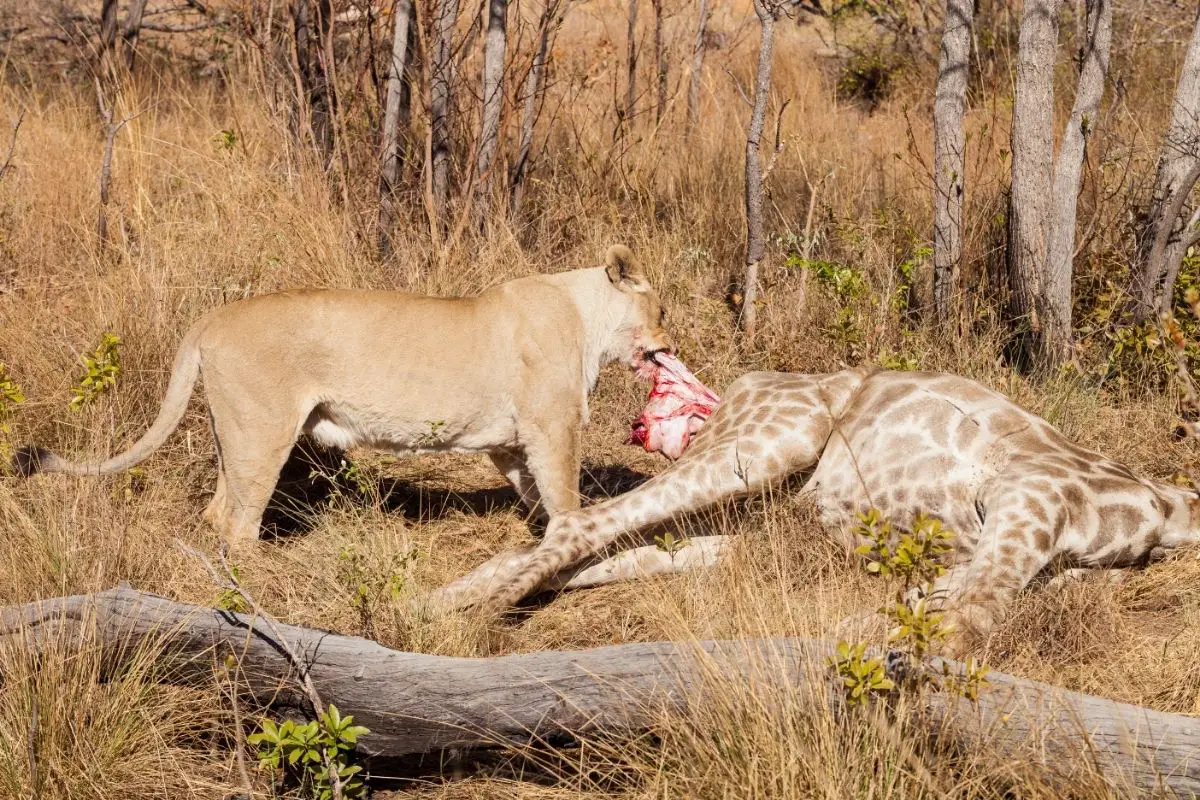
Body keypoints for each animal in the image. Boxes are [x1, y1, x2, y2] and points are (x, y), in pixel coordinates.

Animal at [427, 367, 1195, 652]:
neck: (1169, 510)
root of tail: (736, 390)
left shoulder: (1031, 556)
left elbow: (942, 604)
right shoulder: (1030, 498)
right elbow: (976, 615)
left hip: (740, 531)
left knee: (589, 546)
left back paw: (441, 602)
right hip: (774, 440)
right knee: (581, 523)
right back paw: (470, 621)